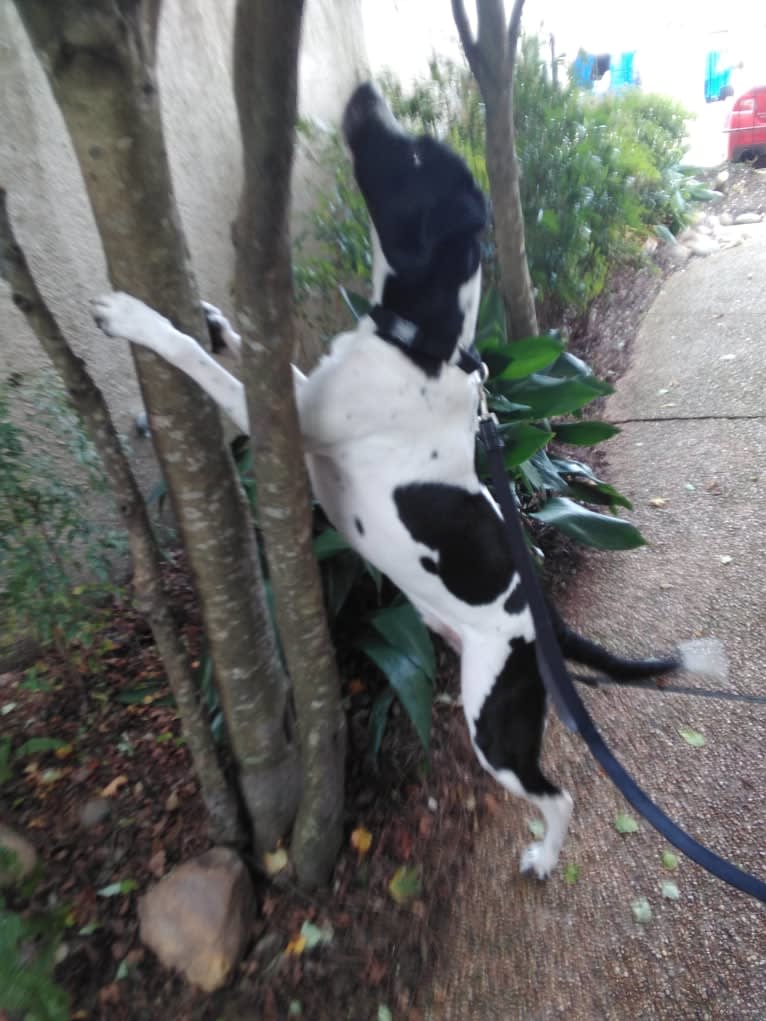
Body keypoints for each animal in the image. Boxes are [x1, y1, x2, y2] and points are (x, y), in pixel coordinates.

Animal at [92, 85, 723, 878]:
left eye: (417, 155)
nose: (364, 93)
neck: (420, 343)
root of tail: (543, 621)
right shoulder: (296, 394)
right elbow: (240, 349)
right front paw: (210, 319)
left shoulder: (283, 427)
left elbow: (198, 364)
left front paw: (137, 318)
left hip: (497, 727)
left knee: (560, 793)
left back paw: (544, 856)